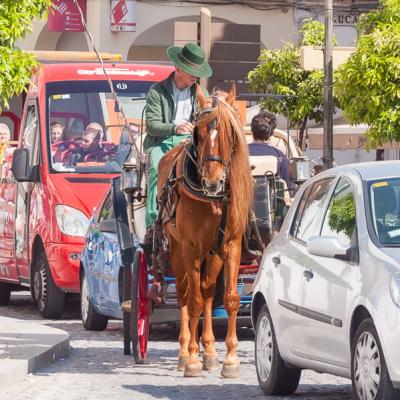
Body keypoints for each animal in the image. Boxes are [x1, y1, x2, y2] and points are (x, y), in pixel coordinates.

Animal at [157, 84, 253, 378]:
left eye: (229, 132)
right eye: (198, 132)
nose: (212, 181)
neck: (213, 199)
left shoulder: (230, 244)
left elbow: (230, 298)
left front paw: (230, 359)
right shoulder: (189, 246)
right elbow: (194, 302)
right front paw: (191, 360)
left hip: (213, 253)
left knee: (209, 292)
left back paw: (209, 351)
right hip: (177, 250)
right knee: (186, 294)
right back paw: (184, 352)